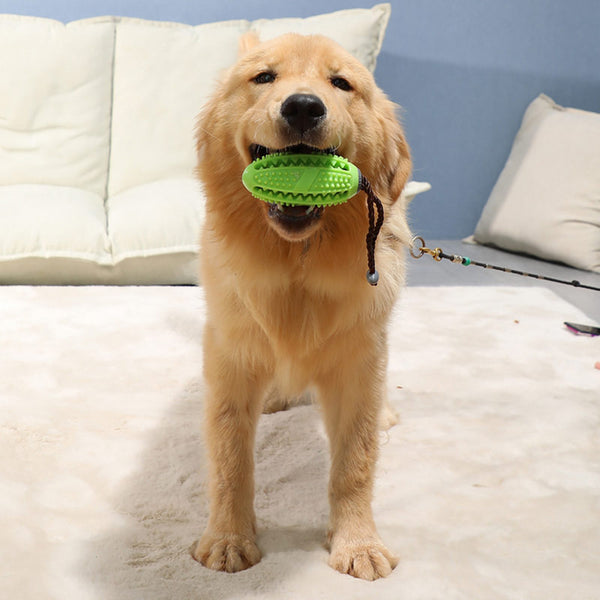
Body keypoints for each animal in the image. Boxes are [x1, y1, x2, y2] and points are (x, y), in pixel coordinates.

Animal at [192, 32, 412, 580]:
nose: (303, 107)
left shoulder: (360, 361)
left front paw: (358, 544)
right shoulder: (230, 358)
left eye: (342, 83)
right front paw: (228, 539)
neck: (297, 264)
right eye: (264, 77)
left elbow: (355, 464)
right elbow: (230, 458)